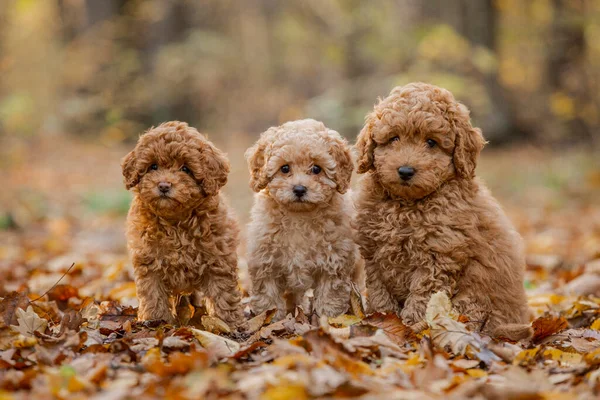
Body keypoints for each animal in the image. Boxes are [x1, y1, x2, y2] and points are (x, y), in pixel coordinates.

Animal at [122, 122, 244, 328]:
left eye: (186, 169)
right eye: (153, 166)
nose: (163, 185)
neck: (176, 222)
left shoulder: (218, 259)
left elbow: (222, 292)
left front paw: (227, 323)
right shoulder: (149, 260)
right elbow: (153, 292)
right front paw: (156, 319)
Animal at [245, 118, 358, 318]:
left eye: (316, 169)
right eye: (284, 168)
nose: (299, 189)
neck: (299, 216)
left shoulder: (334, 261)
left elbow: (330, 295)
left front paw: (328, 318)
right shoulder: (265, 261)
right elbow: (268, 296)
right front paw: (270, 318)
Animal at [354, 83, 532, 340]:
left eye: (431, 142)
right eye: (394, 138)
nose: (405, 171)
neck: (406, 206)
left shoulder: (436, 258)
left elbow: (422, 299)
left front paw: (411, 328)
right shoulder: (374, 255)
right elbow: (380, 296)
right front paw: (381, 320)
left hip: (473, 300)